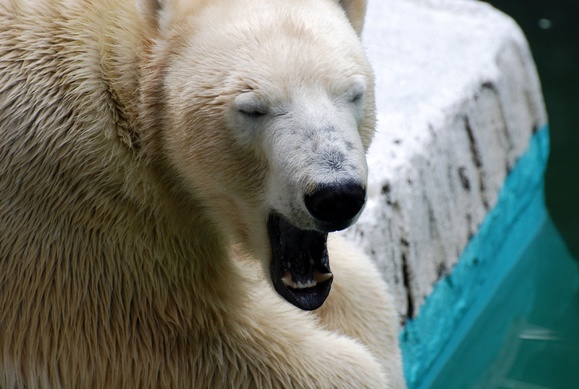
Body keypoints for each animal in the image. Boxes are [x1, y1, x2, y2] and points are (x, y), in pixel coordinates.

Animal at [0, 0, 406, 384]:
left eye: (353, 94)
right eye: (253, 109)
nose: (335, 195)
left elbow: (361, 287)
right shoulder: (84, 224)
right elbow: (204, 344)